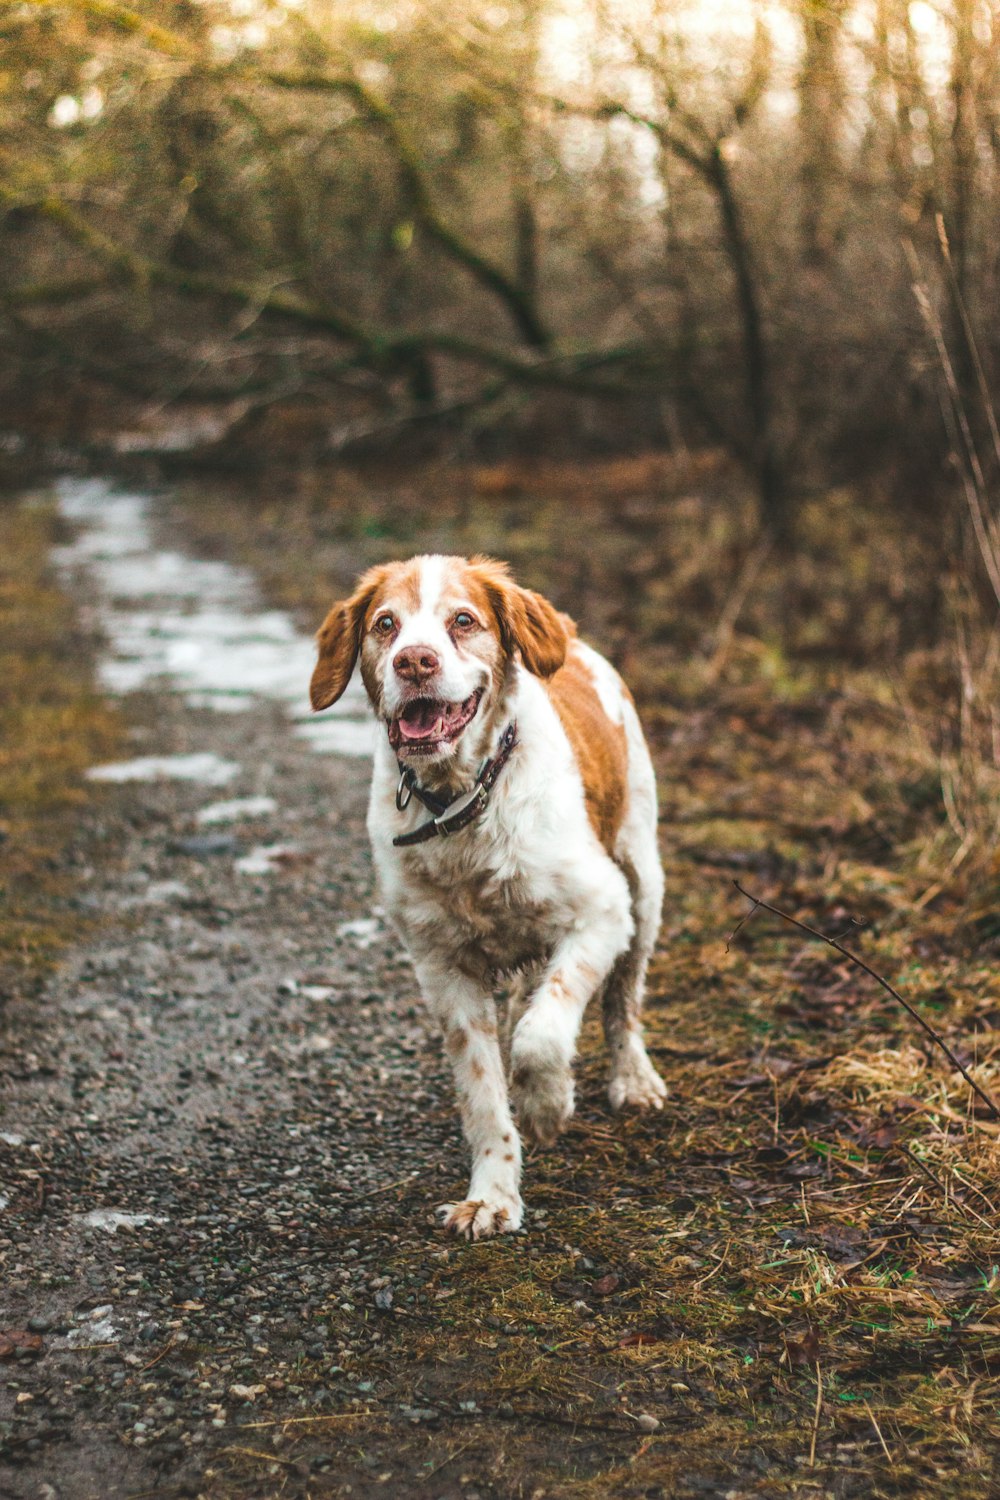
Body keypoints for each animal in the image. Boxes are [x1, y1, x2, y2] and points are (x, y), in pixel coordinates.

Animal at [310, 558, 665, 1236]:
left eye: (463, 620)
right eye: (385, 624)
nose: (414, 661)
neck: (463, 803)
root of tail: (572, 636)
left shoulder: (602, 911)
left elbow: (541, 1035)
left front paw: (548, 1105)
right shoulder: (442, 968)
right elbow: (482, 1090)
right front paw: (493, 1196)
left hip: (643, 882)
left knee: (623, 999)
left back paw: (632, 1079)